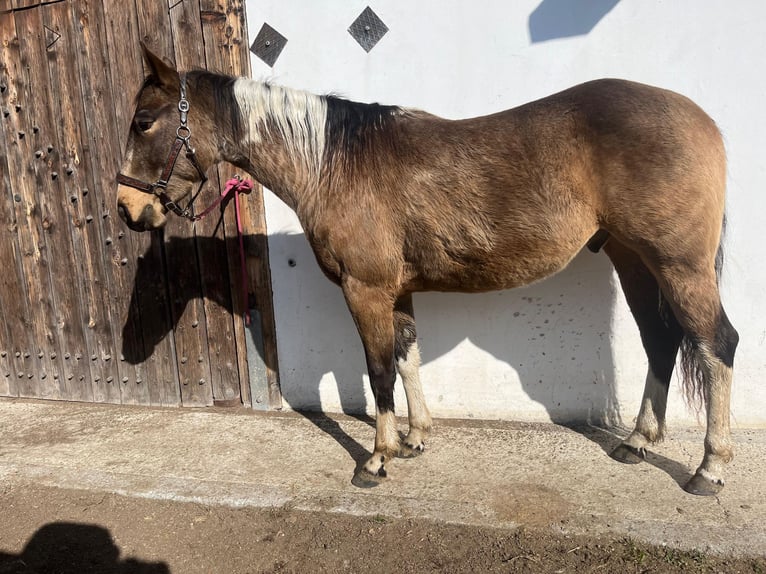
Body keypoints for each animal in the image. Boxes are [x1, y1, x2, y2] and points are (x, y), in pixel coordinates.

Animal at [117, 45, 740, 498]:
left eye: (144, 121)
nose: (128, 209)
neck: (335, 163)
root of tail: (704, 121)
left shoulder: (365, 290)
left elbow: (378, 371)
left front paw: (376, 459)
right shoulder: (397, 291)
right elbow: (406, 355)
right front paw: (416, 438)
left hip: (679, 266)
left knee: (717, 345)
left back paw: (709, 469)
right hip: (635, 261)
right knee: (660, 341)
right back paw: (637, 441)